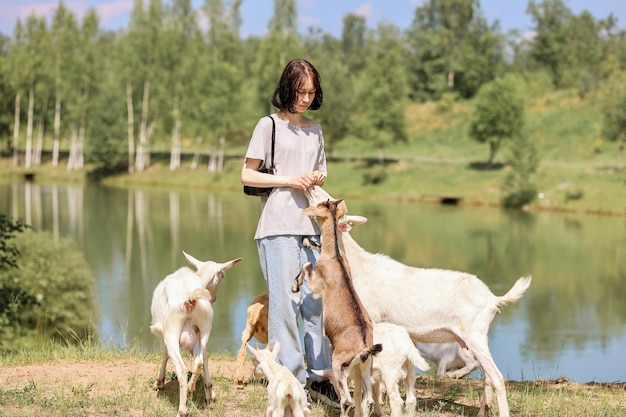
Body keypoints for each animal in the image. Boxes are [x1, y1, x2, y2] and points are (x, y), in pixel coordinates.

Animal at [149, 250, 241, 416]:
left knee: (182, 369)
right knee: (198, 361)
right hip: (205, 326)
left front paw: (159, 382)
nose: (214, 297)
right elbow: (204, 358)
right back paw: (191, 389)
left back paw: (182, 410)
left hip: (172, 330)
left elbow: (165, 354)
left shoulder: (164, 332)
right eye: (222, 275)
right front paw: (210, 392)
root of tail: (190, 298)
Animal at [292, 197, 380, 416]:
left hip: (339, 366)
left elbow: (307, 266)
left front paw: (295, 284)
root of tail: (363, 348)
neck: (336, 258)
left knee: (347, 400)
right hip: (366, 367)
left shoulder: (317, 284)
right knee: (368, 401)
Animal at [304, 186, 528, 416]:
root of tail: (494, 299)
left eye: (324, 199)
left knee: (497, 377)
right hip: (477, 338)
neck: (357, 267)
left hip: (475, 335)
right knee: (488, 377)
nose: (312, 186)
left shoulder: (371, 321)